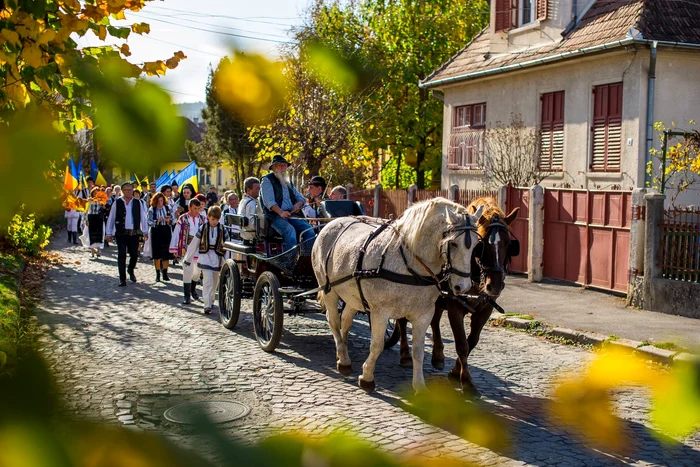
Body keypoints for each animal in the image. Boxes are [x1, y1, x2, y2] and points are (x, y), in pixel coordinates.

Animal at [396, 196, 516, 396]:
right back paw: (405, 354)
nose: (494, 286)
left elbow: (472, 341)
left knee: (434, 321)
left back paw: (438, 355)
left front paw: (455, 370)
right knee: (402, 320)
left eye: (508, 243)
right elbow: (461, 344)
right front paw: (466, 380)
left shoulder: (485, 309)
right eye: (483, 244)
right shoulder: (454, 307)